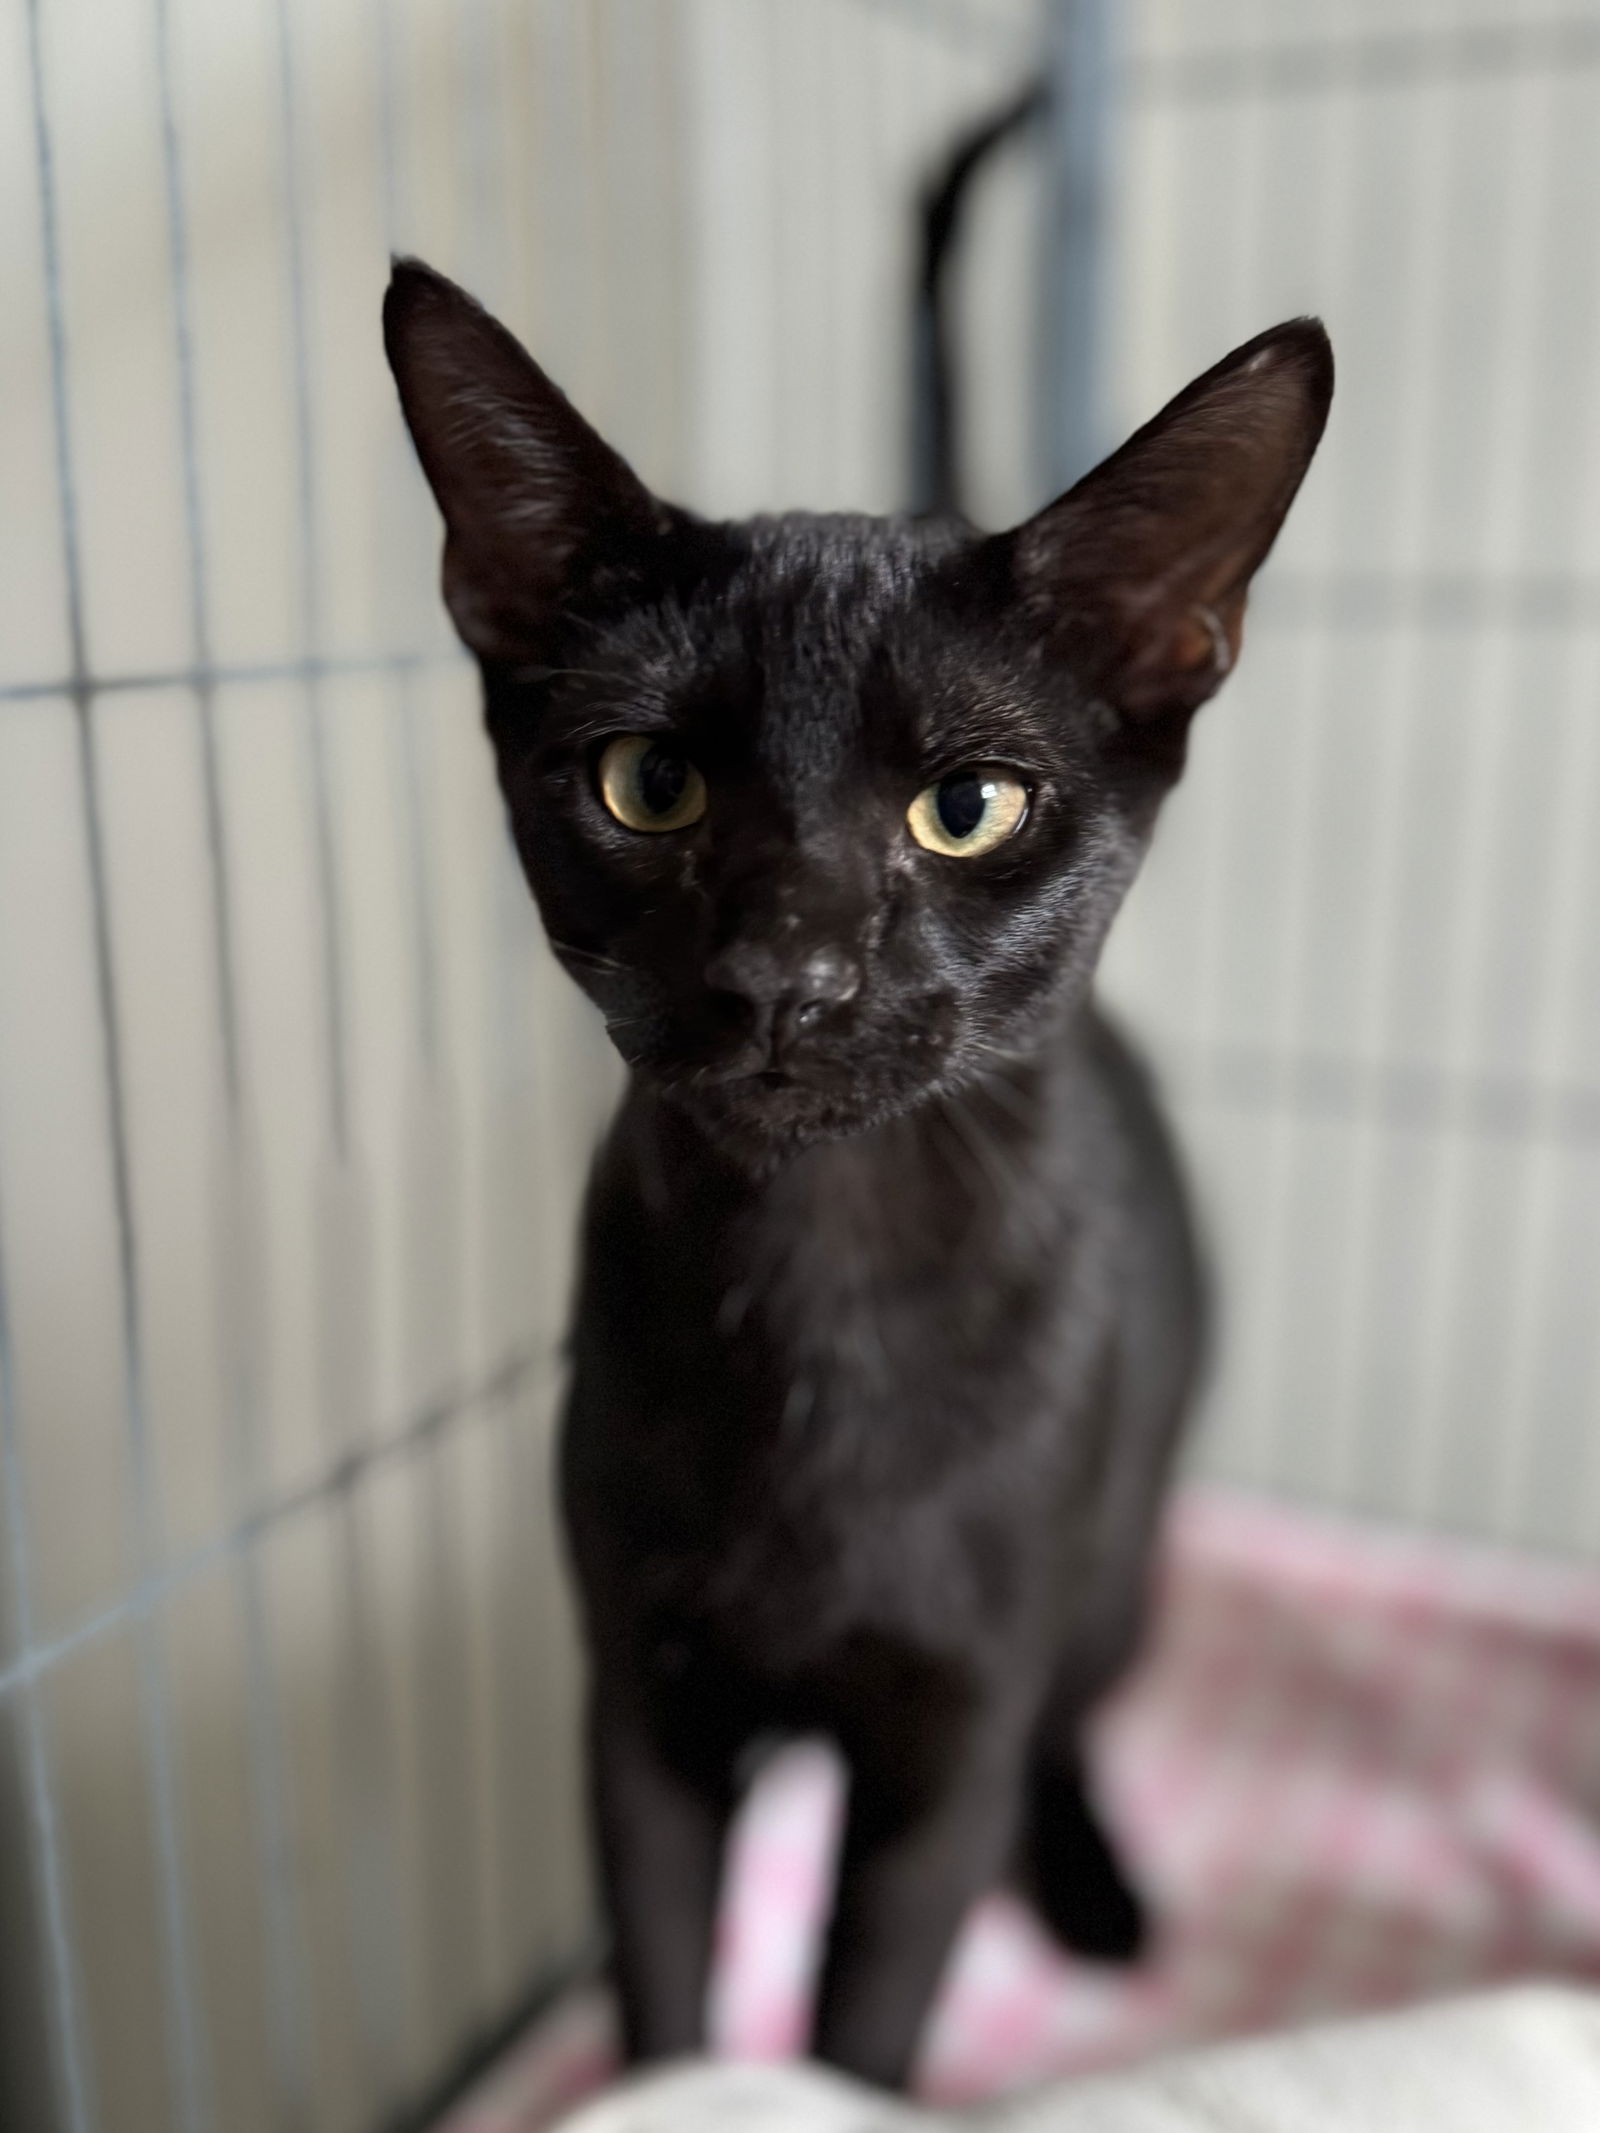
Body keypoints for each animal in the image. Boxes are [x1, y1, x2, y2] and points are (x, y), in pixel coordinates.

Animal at [381, 262, 1331, 2081]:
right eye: (649, 784)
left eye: (969, 806)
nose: (785, 974)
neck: (821, 1281)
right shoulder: (641, 1699)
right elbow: (663, 1996)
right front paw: (671, 2099)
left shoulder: (947, 1734)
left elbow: (864, 2023)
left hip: (1116, 1560)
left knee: (1069, 1723)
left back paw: (1092, 1883)